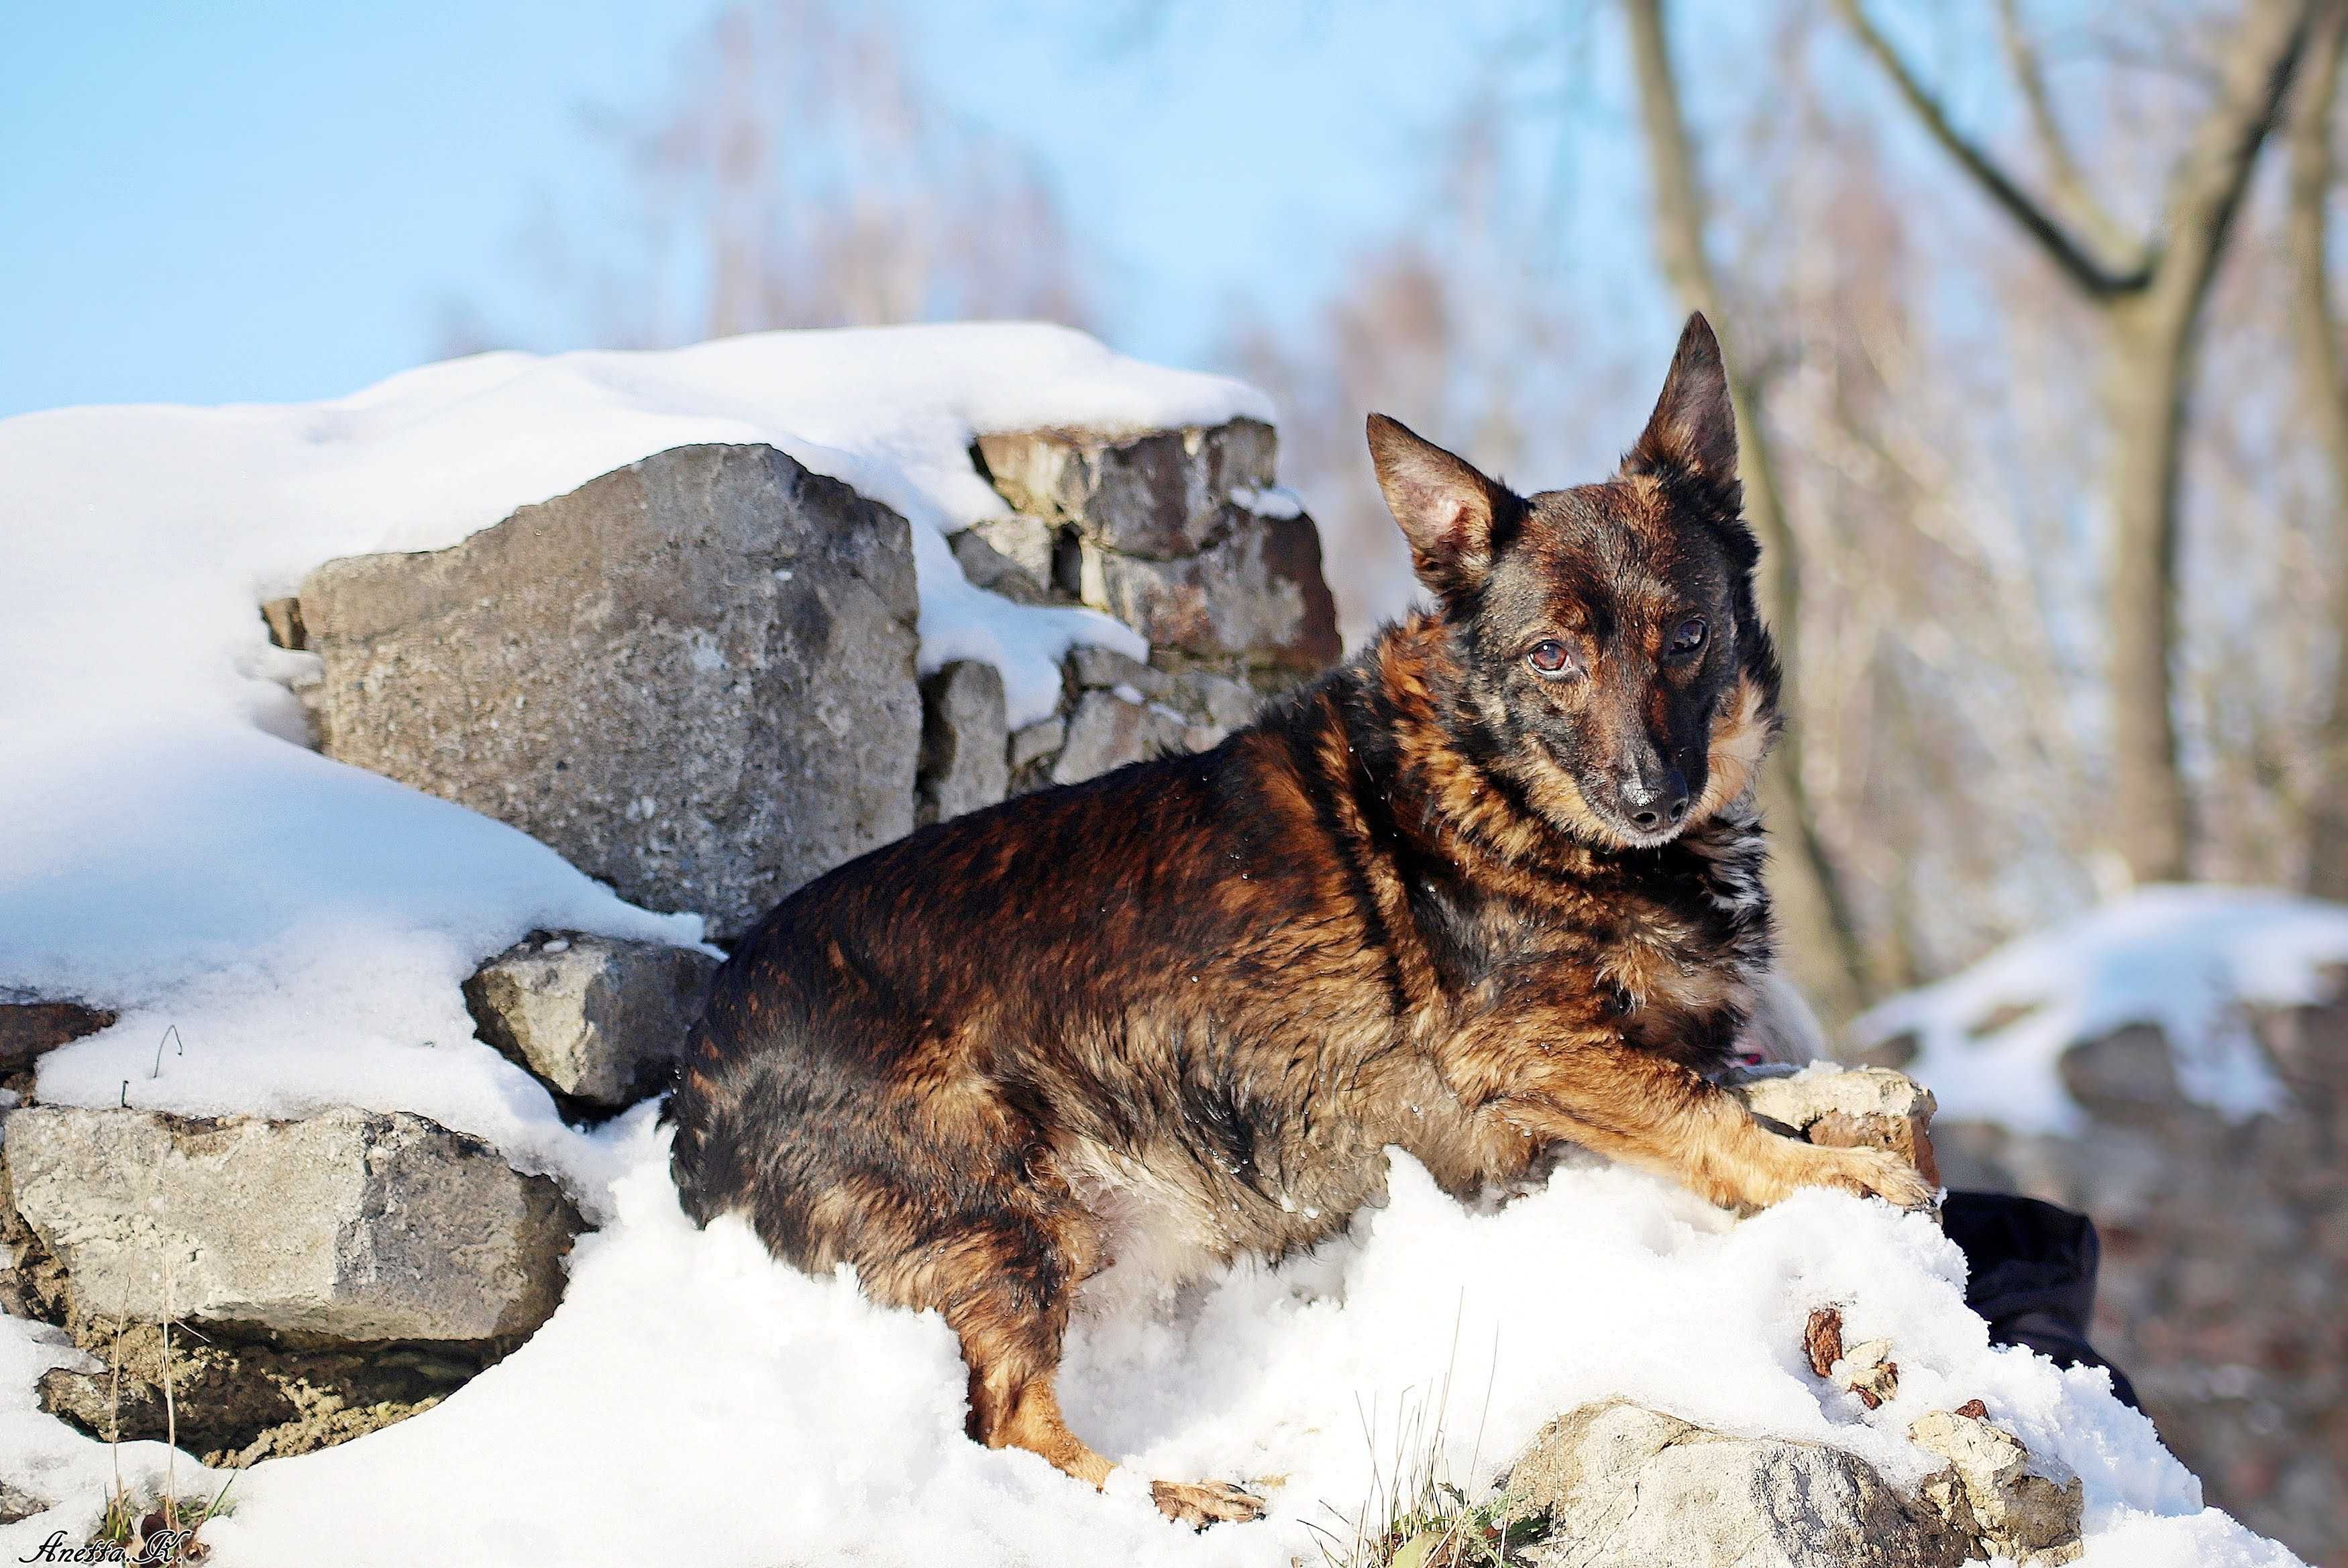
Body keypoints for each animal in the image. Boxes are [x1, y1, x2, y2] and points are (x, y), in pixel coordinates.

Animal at [662, 312, 1925, 1521]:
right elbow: (1702, 1111)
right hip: (998, 1214)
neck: (1496, 773)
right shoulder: (1531, 1043)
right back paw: (1177, 1495)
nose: (1650, 798)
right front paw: (1830, 1173)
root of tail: (699, 1081)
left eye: (1688, 638)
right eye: (1553, 656)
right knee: (1010, 1425)